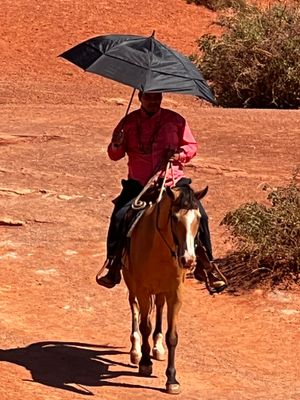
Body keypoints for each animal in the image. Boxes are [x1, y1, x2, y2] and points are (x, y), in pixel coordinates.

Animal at [122, 183, 209, 396]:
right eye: (175, 218)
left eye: (198, 218)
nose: (188, 260)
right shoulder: (143, 290)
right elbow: (145, 326)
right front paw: (145, 363)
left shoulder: (175, 294)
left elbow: (172, 336)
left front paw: (172, 379)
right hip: (131, 284)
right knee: (134, 308)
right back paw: (136, 351)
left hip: (160, 291)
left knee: (159, 308)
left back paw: (158, 347)